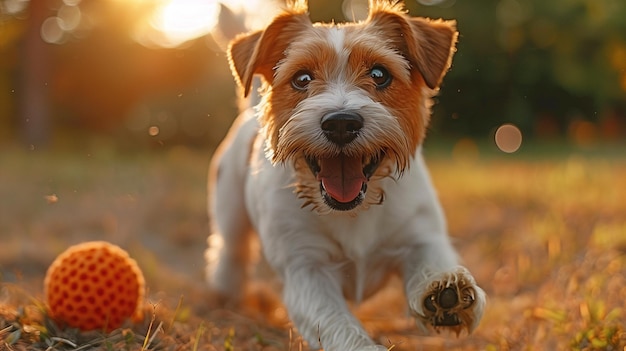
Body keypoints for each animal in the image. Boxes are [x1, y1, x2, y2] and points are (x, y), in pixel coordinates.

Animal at [205, 1, 482, 350]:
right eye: (301, 78)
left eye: (379, 74)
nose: (340, 122)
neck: (354, 211)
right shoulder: (307, 270)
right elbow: (337, 323)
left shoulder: (422, 236)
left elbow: (434, 261)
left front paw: (446, 293)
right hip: (230, 216)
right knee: (230, 254)